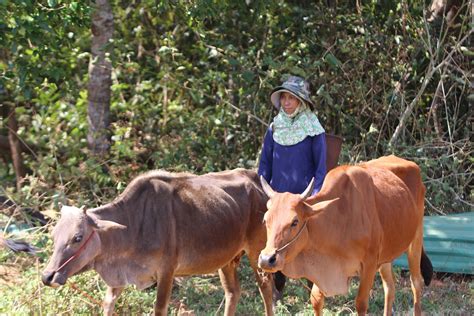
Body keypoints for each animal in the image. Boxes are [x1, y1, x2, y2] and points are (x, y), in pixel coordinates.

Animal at [44, 169, 276, 316]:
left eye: (77, 237)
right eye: (54, 236)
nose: (48, 276)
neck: (133, 226)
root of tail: (257, 181)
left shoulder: (166, 272)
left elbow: (159, 308)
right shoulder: (118, 279)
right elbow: (108, 305)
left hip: (258, 254)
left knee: (266, 290)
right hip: (227, 260)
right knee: (233, 293)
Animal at [258, 158, 432, 316]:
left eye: (295, 221)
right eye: (265, 220)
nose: (267, 259)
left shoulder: (369, 264)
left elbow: (361, 303)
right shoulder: (323, 269)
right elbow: (316, 299)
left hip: (416, 238)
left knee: (416, 283)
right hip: (386, 256)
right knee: (390, 287)